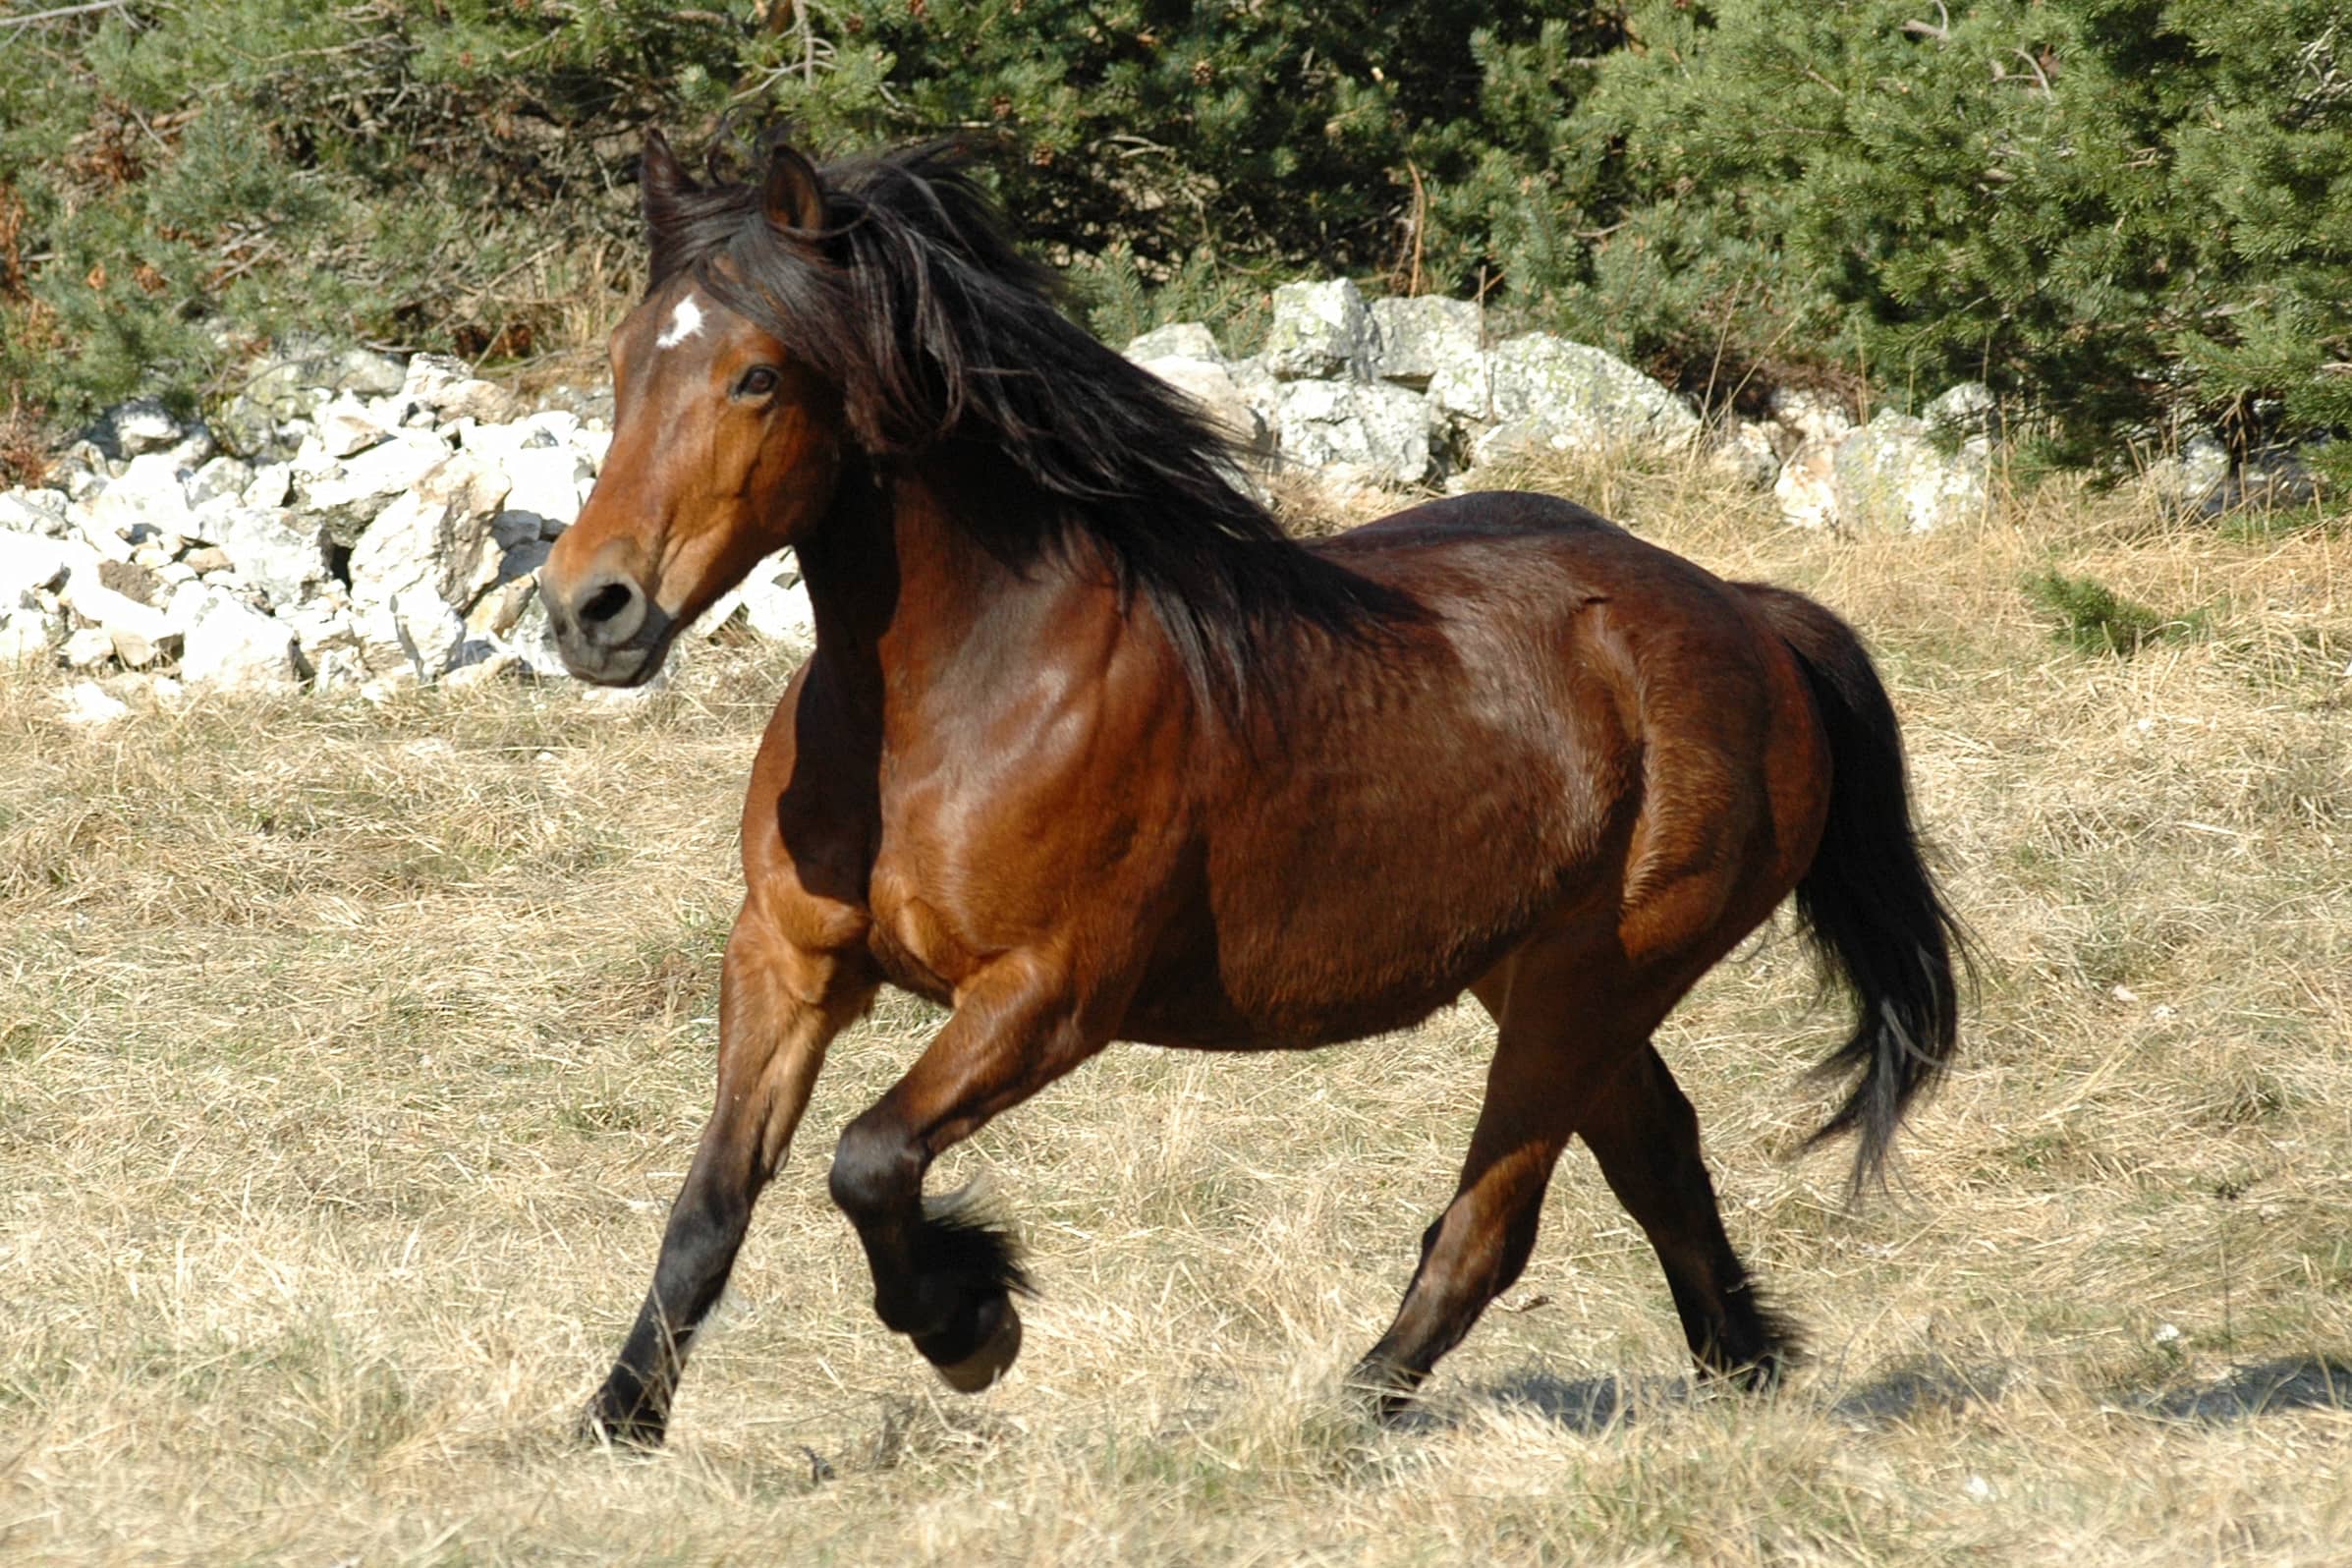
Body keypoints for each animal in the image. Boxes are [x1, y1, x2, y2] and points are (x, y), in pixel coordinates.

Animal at [538, 131, 1966, 1447]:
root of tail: (1751, 618)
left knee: (1494, 1220)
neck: (961, 693)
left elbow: (869, 1159)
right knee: (1656, 1154)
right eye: (622, 363)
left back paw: (1348, 1414)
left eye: (758, 375)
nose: (589, 610)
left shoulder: (1050, 994)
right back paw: (1744, 1369)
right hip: (1546, 975)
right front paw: (619, 1419)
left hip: (1591, 984)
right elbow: (711, 1205)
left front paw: (972, 1323)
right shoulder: (785, 962)